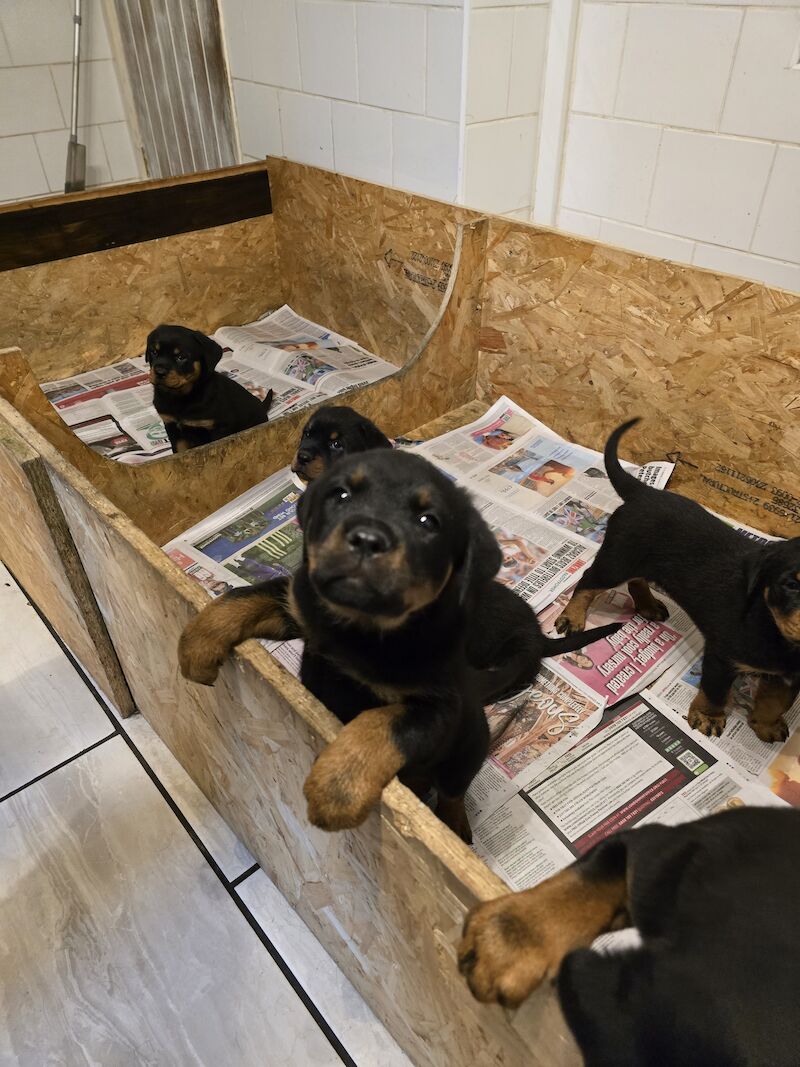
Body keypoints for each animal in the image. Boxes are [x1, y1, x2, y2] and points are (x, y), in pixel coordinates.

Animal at [147, 322, 275, 452]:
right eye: (154, 352)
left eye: (181, 357)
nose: (159, 372)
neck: (180, 396)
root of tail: (262, 406)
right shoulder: (172, 426)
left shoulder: (218, 428)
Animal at [180, 446, 618, 836]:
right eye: (341, 495)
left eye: (428, 521)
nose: (368, 539)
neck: (362, 628)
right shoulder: (300, 604)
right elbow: (244, 597)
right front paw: (195, 644)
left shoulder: (436, 707)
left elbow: (379, 723)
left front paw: (337, 787)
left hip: (470, 741)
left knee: (453, 791)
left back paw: (455, 827)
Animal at [554, 420, 800, 746]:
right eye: (792, 585)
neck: (776, 632)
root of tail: (645, 494)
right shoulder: (722, 655)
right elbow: (715, 691)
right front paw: (708, 718)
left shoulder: (789, 675)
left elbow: (776, 700)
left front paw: (767, 725)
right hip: (617, 559)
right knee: (587, 582)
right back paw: (572, 617)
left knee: (637, 581)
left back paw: (648, 605)